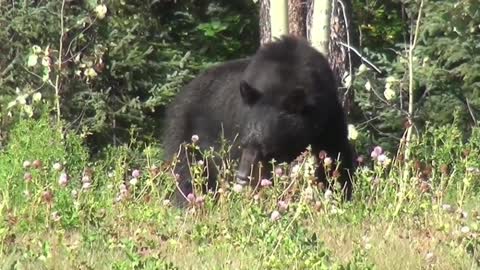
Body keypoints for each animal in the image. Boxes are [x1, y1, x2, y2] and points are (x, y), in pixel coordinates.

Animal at [163, 34, 354, 206]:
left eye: (266, 147)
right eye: (243, 143)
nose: (241, 176)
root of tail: (180, 95)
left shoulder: (328, 115)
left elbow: (335, 152)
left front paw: (341, 194)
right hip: (187, 133)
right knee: (187, 172)